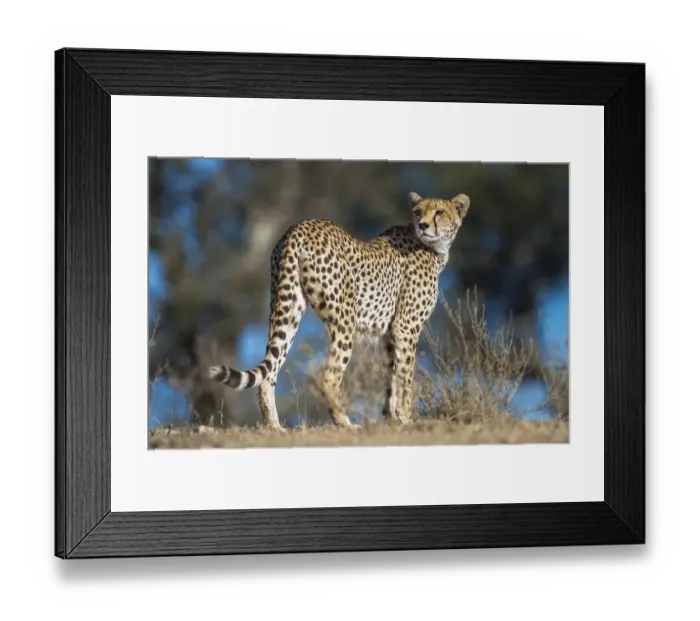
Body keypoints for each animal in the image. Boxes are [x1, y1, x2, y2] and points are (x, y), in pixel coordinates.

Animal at [209, 192, 471, 430]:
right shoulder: (405, 327)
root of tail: (299, 226)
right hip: (345, 319)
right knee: (329, 377)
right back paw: (345, 422)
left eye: (439, 212)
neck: (432, 248)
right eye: (418, 212)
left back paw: (274, 427)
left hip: (287, 309)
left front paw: (392, 418)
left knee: (269, 373)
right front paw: (407, 419)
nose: (423, 225)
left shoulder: (389, 334)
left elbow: (391, 377)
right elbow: (406, 377)